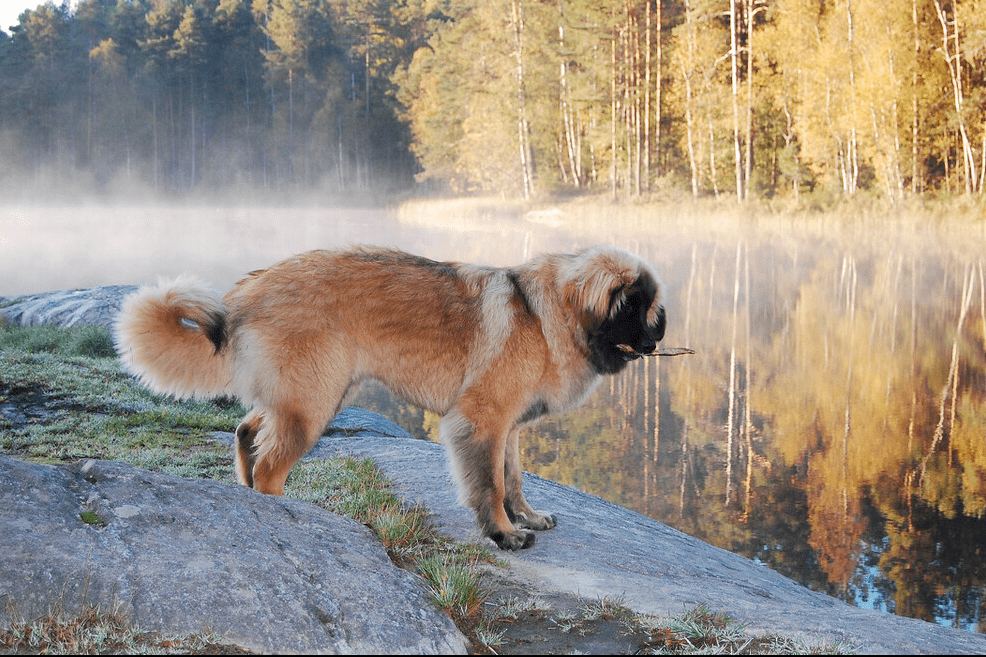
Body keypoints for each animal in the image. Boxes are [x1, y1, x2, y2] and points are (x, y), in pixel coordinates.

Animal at [117, 246, 668, 548]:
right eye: (633, 306)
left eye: (650, 306)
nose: (659, 337)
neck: (545, 312)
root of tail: (244, 294)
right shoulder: (479, 421)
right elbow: (490, 486)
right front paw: (503, 534)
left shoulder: (507, 428)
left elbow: (512, 480)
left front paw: (525, 517)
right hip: (314, 404)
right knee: (271, 467)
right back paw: (289, 518)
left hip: (308, 395)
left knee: (247, 432)